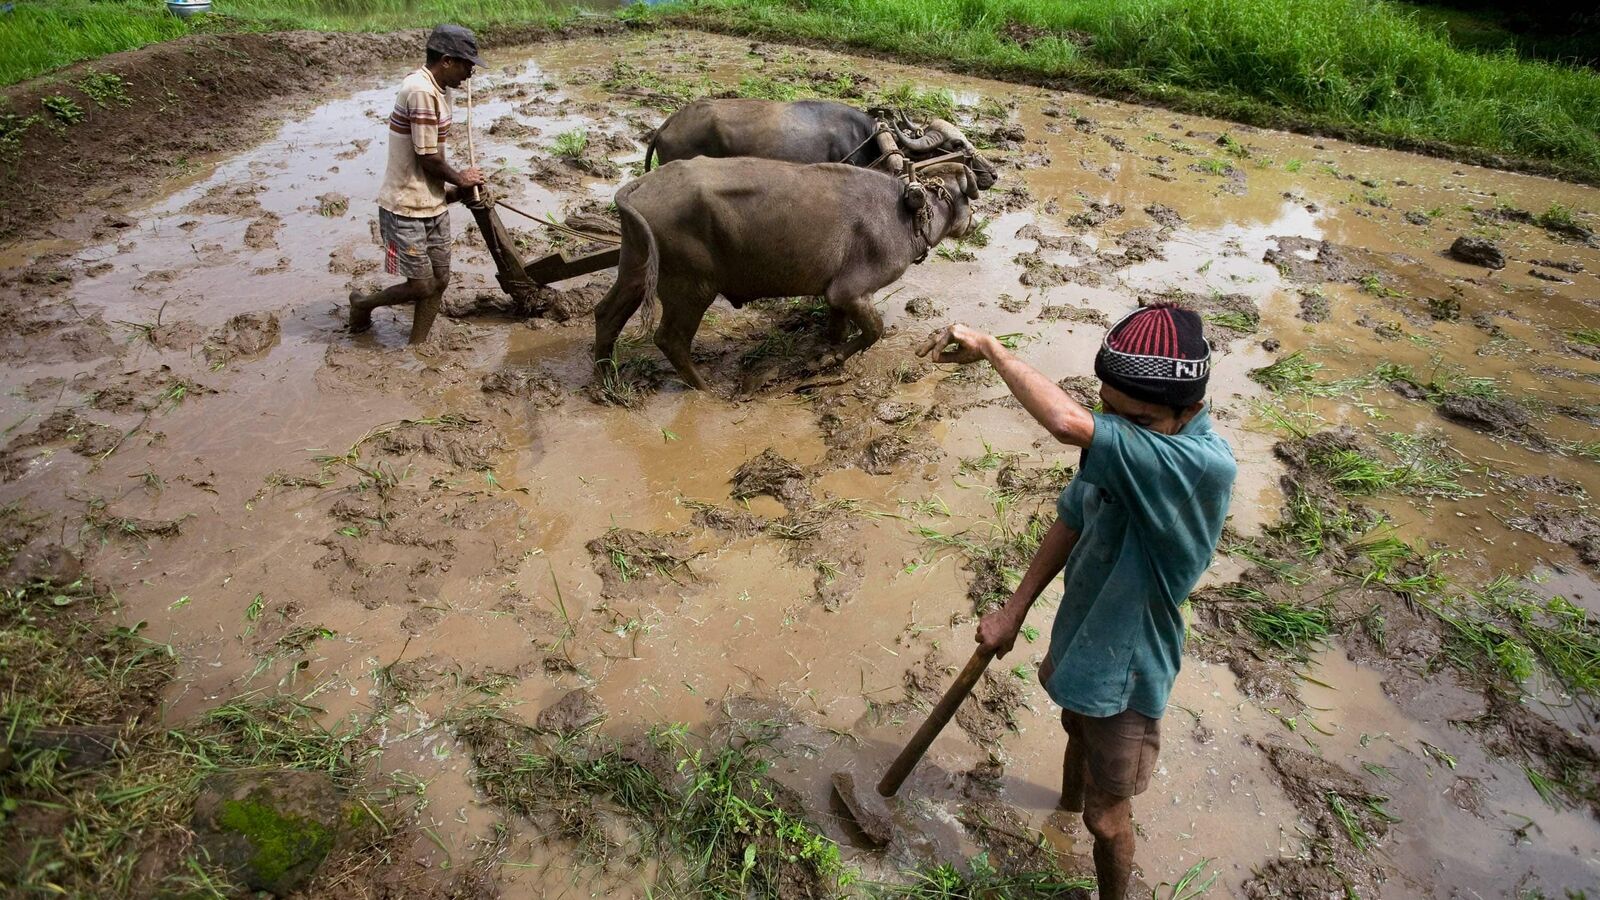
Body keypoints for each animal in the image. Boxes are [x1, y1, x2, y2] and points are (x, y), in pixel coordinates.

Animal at [595, 158, 979, 389]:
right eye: (968, 199)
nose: (974, 221)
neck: (908, 215)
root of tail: (643, 185)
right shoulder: (852, 291)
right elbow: (874, 330)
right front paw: (829, 360)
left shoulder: (836, 295)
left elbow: (838, 328)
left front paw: (827, 352)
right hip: (691, 288)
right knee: (669, 339)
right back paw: (704, 388)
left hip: (636, 267)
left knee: (606, 313)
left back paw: (604, 377)